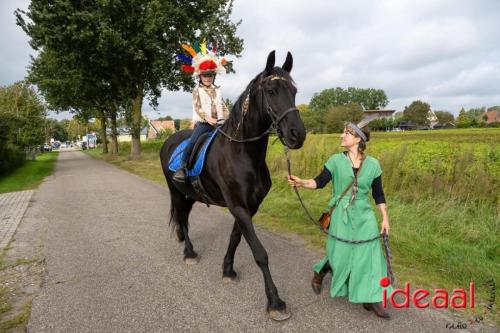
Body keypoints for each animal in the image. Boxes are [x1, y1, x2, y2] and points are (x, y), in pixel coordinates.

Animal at [162, 50, 306, 320]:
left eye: (294, 90)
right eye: (271, 90)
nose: (297, 134)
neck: (242, 153)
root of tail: (169, 140)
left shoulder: (249, 207)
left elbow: (235, 238)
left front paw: (227, 270)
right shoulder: (238, 206)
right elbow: (260, 253)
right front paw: (275, 301)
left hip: (189, 196)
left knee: (182, 217)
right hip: (176, 191)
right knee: (182, 219)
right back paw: (189, 253)